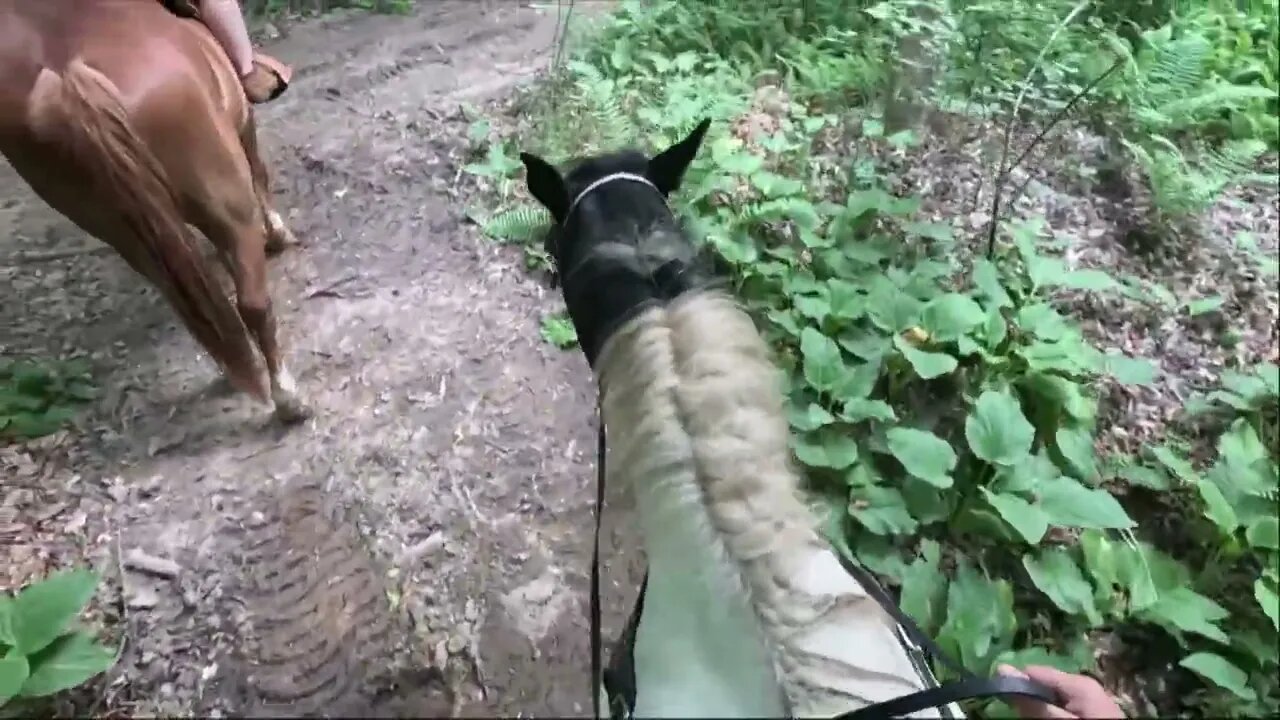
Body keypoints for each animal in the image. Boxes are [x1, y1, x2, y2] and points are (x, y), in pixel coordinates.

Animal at [0, 0, 308, 420]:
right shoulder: (241, 125)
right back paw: (288, 397)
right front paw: (277, 235)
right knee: (252, 303)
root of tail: (69, 78)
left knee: (199, 309)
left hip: (125, 233)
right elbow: (257, 170)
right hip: (225, 204)